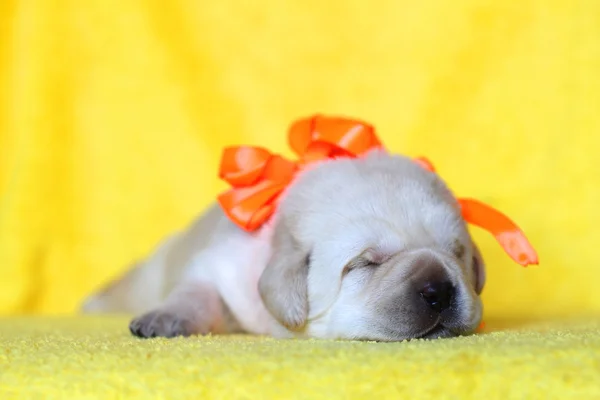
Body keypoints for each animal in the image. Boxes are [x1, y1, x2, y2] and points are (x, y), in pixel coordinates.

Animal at [83, 150, 488, 340]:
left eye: (456, 253)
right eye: (366, 263)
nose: (439, 290)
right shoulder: (219, 264)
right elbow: (194, 291)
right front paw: (166, 318)